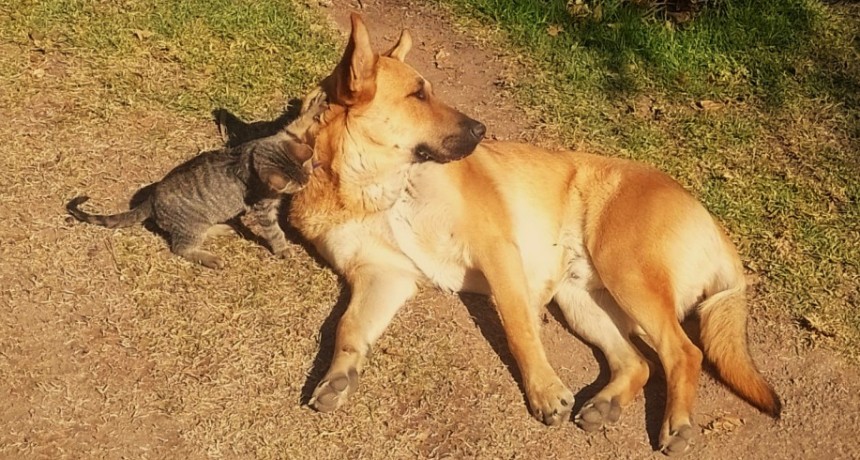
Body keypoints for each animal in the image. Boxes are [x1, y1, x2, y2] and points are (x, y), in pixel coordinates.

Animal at [67, 97, 328, 270]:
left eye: (306, 178)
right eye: (298, 185)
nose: (307, 182)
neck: (253, 154)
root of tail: (150, 200)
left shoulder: (283, 136)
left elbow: (298, 123)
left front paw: (316, 106)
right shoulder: (263, 207)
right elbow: (274, 231)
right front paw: (282, 249)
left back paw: (223, 228)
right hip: (191, 226)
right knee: (180, 248)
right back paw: (211, 258)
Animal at [288, 14, 780, 456]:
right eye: (418, 95)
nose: (481, 130)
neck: (375, 186)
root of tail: (710, 219)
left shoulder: (495, 251)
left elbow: (519, 328)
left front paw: (543, 390)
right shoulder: (381, 274)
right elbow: (348, 325)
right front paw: (338, 374)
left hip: (626, 274)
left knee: (683, 352)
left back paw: (676, 423)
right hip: (583, 301)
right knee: (638, 362)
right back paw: (606, 404)